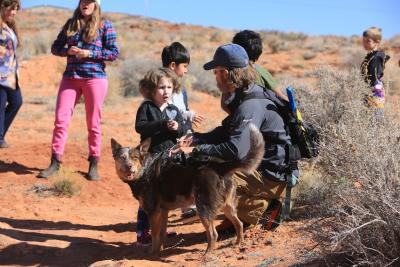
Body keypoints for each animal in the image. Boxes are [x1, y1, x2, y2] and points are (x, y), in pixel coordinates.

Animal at [111, 124, 264, 256]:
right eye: (122, 157)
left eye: (135, 158)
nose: (129, 166)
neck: (144, 169)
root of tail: (221, 166)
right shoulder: (163, 211)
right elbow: (162, 234)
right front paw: (160, 250)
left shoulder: (154, 212)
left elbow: (154, 235)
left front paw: (152, 253)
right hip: (227, 206)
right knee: (239, 224)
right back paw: (238, 244)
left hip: (203, 207)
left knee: (213, 234)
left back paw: (206, 255)